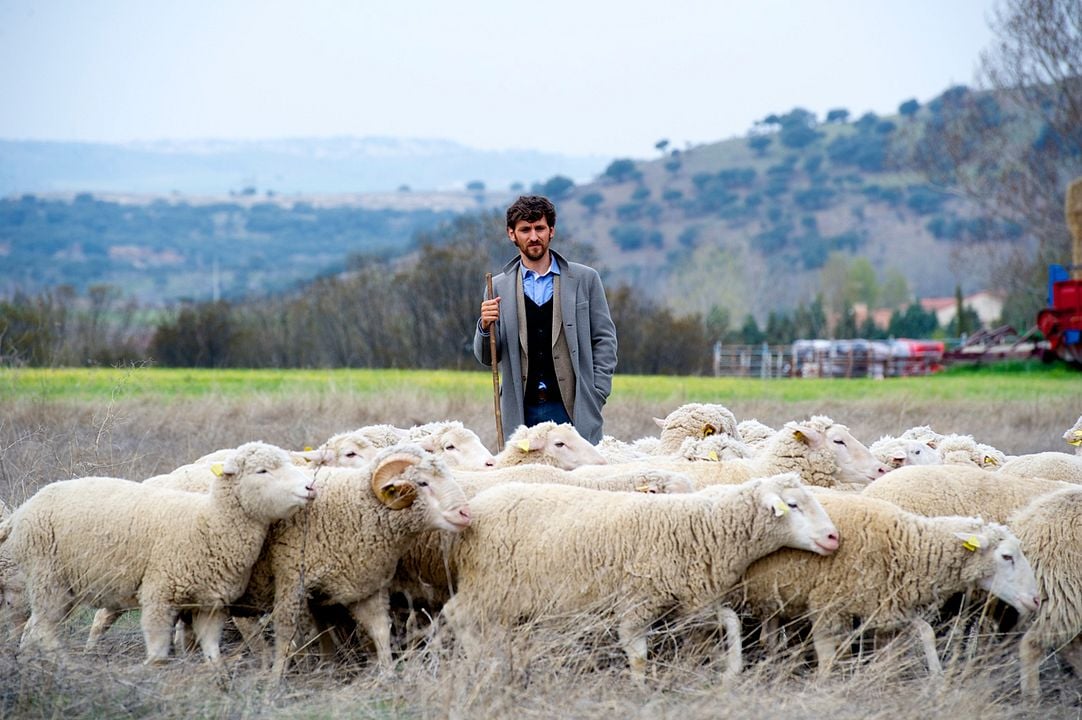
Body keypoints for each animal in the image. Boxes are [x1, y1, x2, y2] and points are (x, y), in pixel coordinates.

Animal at [0, 443, 315, 662]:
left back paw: (29, 665)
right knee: (43, 630)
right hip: (47, 578)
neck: (207, 520)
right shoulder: (159, 594)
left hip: (64, 588)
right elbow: (158, 653)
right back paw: (69, 666)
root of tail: (21, 512)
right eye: (262, 471)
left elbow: (212, 653)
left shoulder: (208, 602)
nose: (309, 486)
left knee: (34, 628)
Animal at [437, 474, 835, 675]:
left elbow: (732, 621)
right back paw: (480, 662)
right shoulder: (636, 602)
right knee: (457, 615)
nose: (834, 537)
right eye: (793, 505)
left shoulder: (694, 601)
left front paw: (732, 670)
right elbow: (638, 655)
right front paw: (641, 686)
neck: (700, 527)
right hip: (488, 585)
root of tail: (473, 509)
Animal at [735, 489, 1038, 675]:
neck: (903, 544)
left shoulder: (887, 605)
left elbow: (925, 631)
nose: (1036, 599)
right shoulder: (827, 606)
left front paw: (937, 677)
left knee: (769, 636)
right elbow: (829, 657)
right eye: (1007, 556)